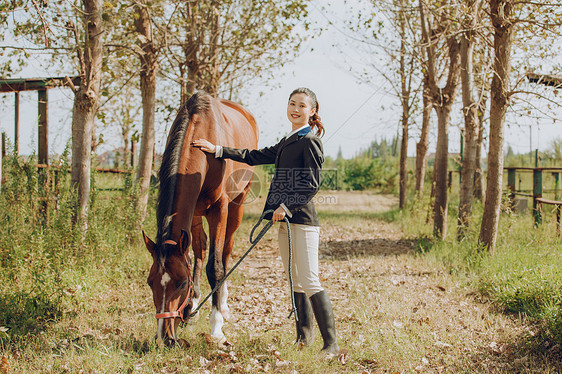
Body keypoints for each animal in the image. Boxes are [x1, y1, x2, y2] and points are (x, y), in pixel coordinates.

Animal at [143, 92, 260, 346]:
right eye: (149, 281)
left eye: (181, 283)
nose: (164, 338)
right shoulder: (193, 212)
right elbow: (194, 254)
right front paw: (190, 307)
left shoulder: (219, 209)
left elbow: (214, 266)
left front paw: (216, 327)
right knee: (200, 250)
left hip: (237, 205)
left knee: (226, 251)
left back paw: (223, 305)